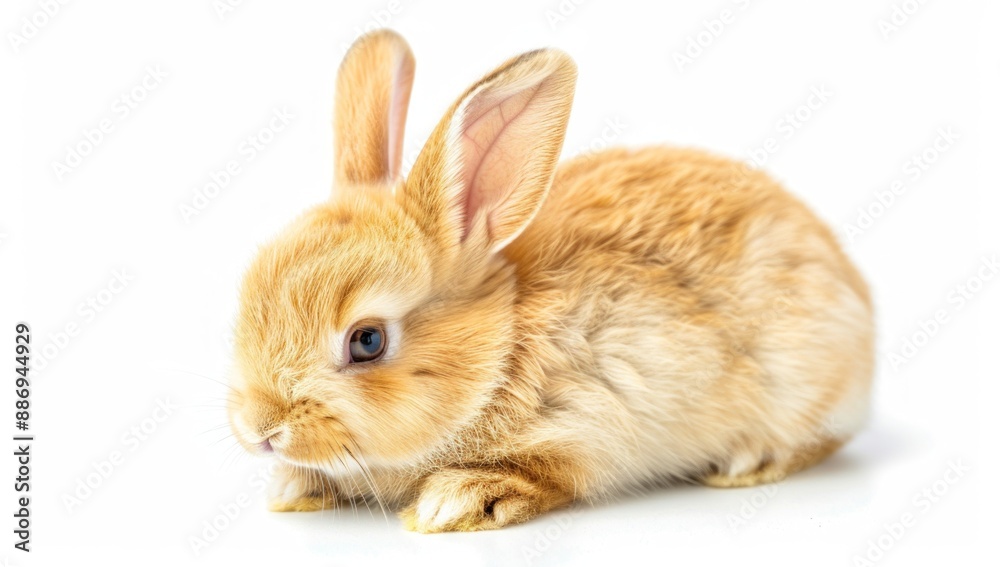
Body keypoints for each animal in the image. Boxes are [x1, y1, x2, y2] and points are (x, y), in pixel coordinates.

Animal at [227, 29, 874, 533]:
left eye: (367, 341)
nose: (260, 431)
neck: (499, 354)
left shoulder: (591, 425)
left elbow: (544, 473)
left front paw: (452, 502)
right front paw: (291, 488)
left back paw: (747, 462)